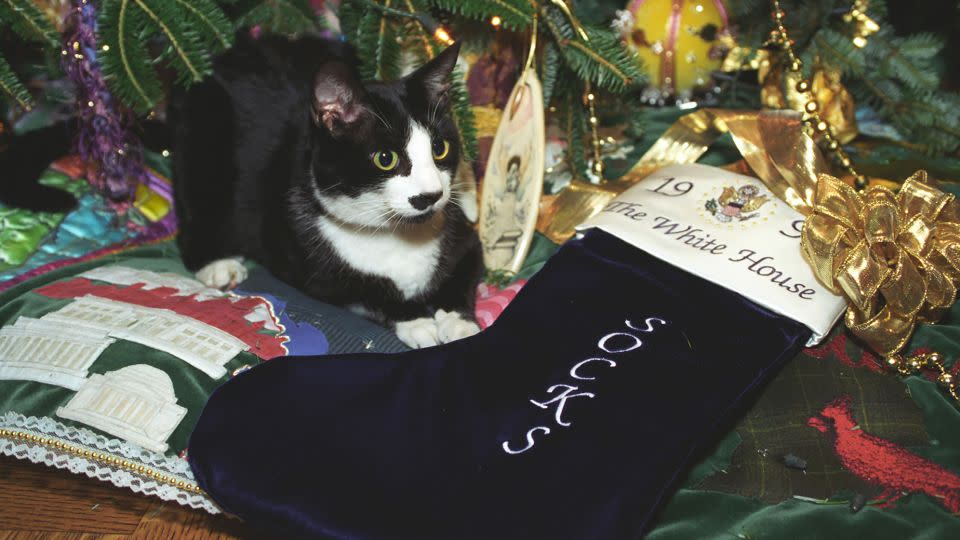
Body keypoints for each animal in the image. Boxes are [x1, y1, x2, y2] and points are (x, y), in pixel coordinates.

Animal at [170, 34, 484, 346]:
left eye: (439, 148)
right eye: (386, 158)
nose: (431, 195)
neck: (397, 234)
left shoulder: (464, 238)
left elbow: (462, 275)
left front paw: (459, 322)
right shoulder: (318, 275)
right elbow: (368, 294)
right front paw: (416, 321)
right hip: (204, 141)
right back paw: (218, 264)